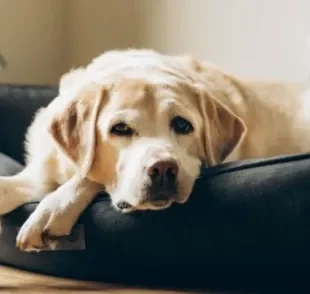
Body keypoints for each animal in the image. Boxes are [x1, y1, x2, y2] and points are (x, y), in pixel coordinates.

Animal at [0, 48, 308, 250]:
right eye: (120, 129)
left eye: (183, 125)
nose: (163, 169)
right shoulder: (42, 168)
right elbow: (18, 183)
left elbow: (88, 177)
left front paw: (52, 211)